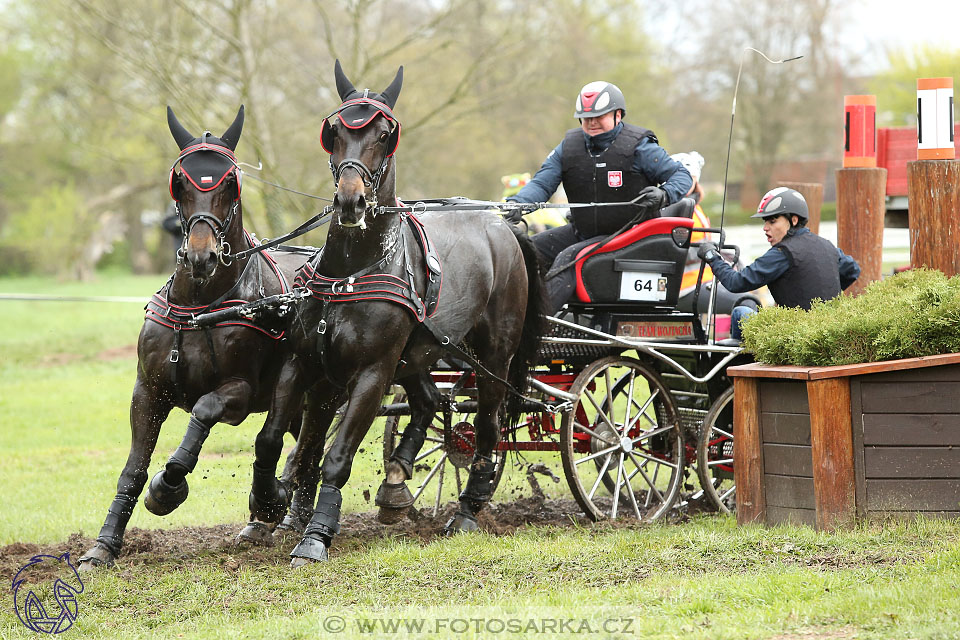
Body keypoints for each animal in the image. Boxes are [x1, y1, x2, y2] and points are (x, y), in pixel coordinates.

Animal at [79, 106, 314, 568]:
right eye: (181, 182)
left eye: (230, 182)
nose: (201, 256)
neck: (200, 307)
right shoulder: (147, 391)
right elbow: (133, 468)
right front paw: (104, 546)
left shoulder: (240, 391)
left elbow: (203, 411)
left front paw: (168, 487)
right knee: (300, 444)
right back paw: (280, 519)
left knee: (302, 445)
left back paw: (278, 506)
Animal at [244, 61, 544, 564]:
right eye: (334, 131)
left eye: (385, 134)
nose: (350, 202)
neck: (352, 269)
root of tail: (502, 225)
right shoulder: (304, 363)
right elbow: (272, 439)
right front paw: (269, 502)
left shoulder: (371, 374)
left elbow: (337, 456)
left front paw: (316, 535)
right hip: (422, 353)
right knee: (430, 401)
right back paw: (397, 479)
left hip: (493, 357)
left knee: (486, 427)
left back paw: (467, 510)